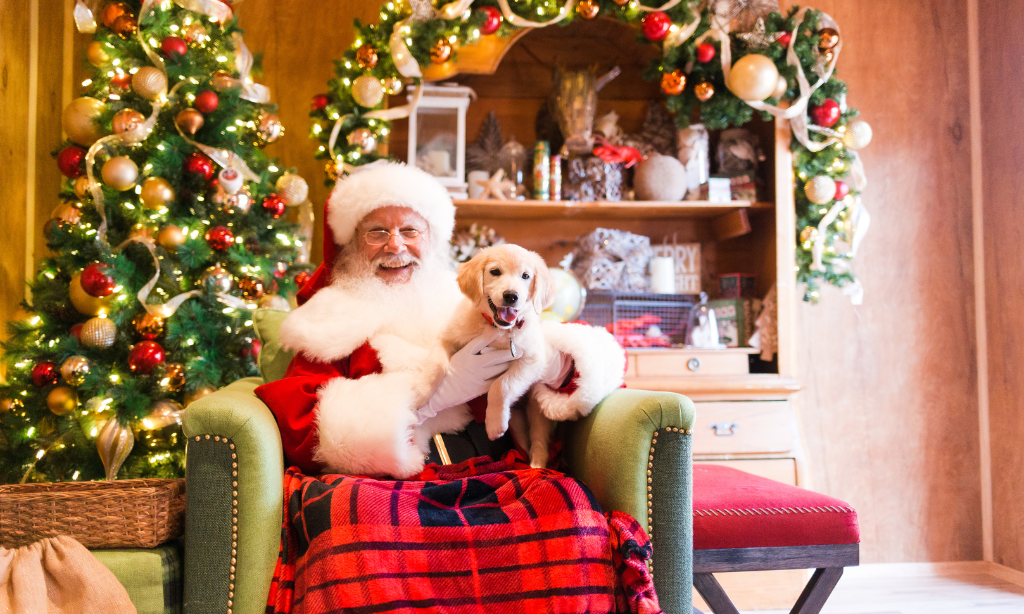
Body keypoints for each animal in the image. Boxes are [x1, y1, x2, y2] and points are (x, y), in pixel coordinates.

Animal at [440, 246, 552, 444]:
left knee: (538, 440)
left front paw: (494, 424)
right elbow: (436, 360)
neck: (499, 330)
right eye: (495, 271)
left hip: (536, 411)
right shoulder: (449, 336)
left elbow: (502, 385)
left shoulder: (532, 360)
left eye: (525, 276)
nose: (511, 296)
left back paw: (536, 454)